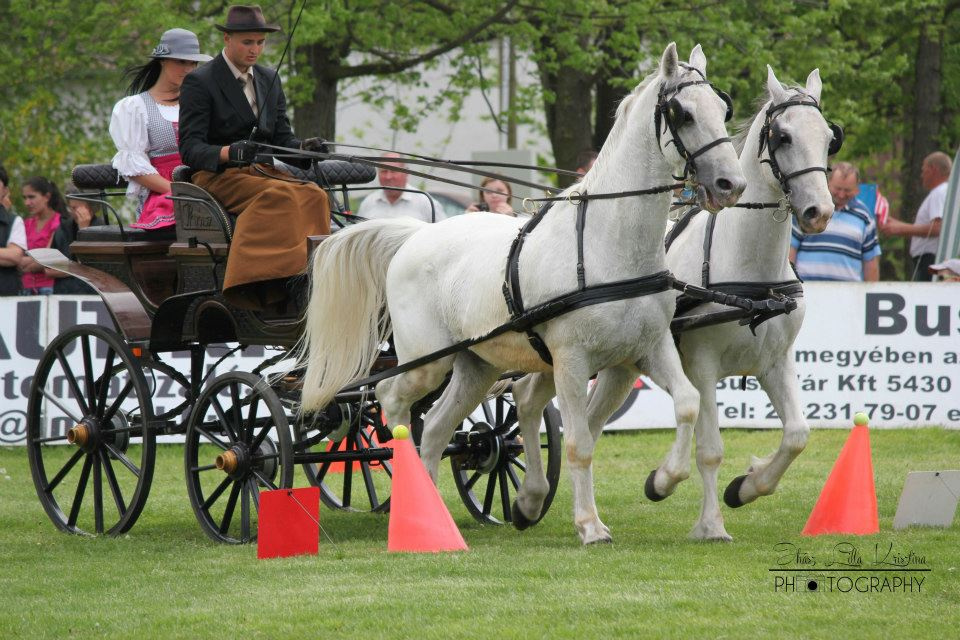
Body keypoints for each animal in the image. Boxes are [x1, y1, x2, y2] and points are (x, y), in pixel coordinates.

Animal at [296, 43, 748, 544]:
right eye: (682, 113)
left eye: (723, 109)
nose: (731, 184)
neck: (606, 244)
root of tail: (415, 234)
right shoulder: (571, 360)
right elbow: (579, 443)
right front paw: (590, 525)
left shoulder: (649, 347)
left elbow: (687, 404)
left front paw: (662, 481)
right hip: (426, 361)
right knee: (393, 405)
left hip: (476, 365)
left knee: (434, 428)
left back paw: (430, 513)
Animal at [656, 66, 836, 540]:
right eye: (784, 137)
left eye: (830, 137)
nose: (820, 212)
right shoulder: (701, 367)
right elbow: (710, 450)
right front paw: (711, 525)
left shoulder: (775, 361)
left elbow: (797, 434)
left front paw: (748, 486)